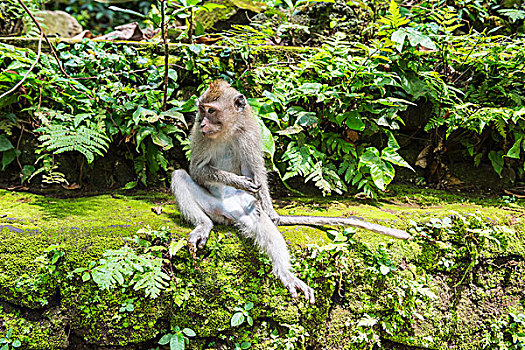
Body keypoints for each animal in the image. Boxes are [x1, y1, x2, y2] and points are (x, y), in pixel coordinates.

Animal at [171, 79, 410, 304]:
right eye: (202, 109)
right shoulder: (199, 135)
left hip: (243, 209)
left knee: (260, 220)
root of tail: (225, 213)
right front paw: (238, 181)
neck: (226, 130)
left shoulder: (250, 132)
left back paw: (285, 273)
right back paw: (204, 225)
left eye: (211, 111)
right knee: (180, 177)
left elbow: (256, 171)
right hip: (212, 207)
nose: (202, 122)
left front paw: (267, 206)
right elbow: (197, 170)